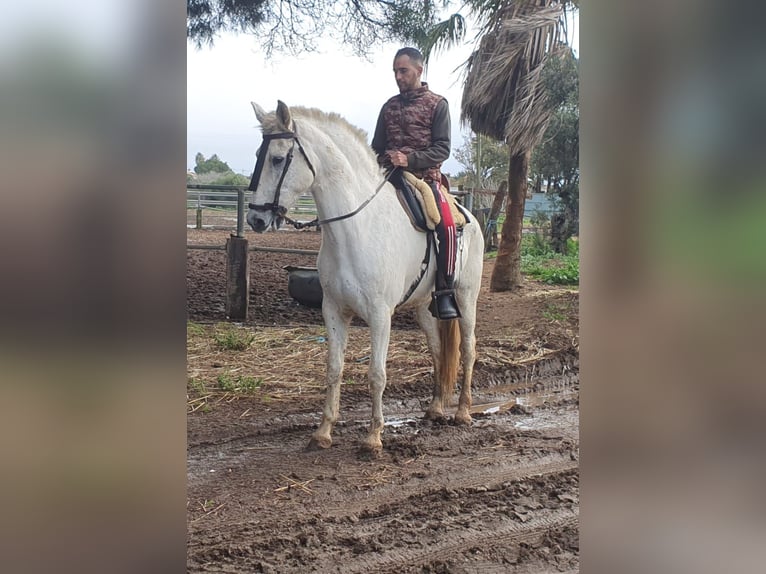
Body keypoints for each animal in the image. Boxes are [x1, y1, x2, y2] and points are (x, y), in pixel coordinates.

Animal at [248, 101, 486, 456]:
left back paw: (463, 412)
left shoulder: (379, 315)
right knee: (438, 349)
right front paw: (323, 432)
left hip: (466, 298)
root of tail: (469, 216)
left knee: (468, 348)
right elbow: (334, 369)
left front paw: (373, 437)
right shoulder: (333, 311)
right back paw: (435, 408)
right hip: (424, 306)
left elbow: (376, 374)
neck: (355, 229)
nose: (255, 218)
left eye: (277, 159)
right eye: (258, 156)